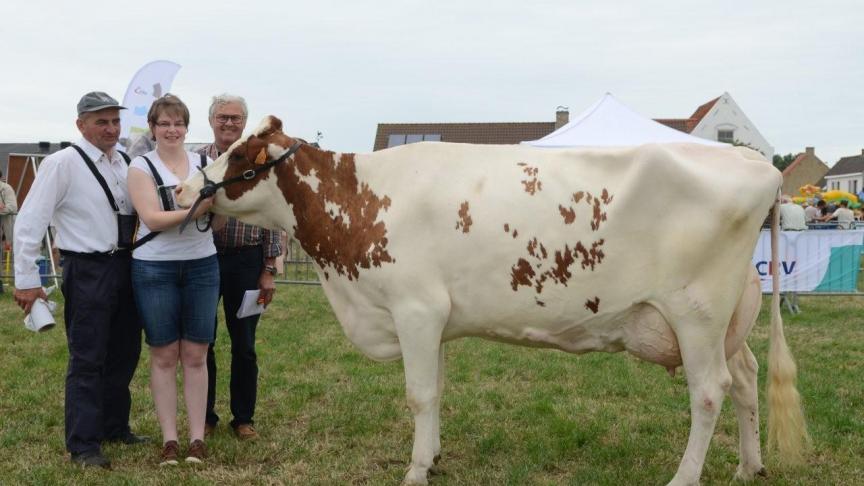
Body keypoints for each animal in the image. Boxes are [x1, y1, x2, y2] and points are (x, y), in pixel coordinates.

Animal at [177, 116, 808, 485]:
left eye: (238, 155)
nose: (182, 188)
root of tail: (753, 162)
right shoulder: (435, 320)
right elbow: (437, 391)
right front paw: (432, 457)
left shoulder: (414, 309)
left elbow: (419, 394)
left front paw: (414, 470)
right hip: (728, 319)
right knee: (747, 378)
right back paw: (750, 465)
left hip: (695, 314)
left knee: (710, 393)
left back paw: (684, 477)